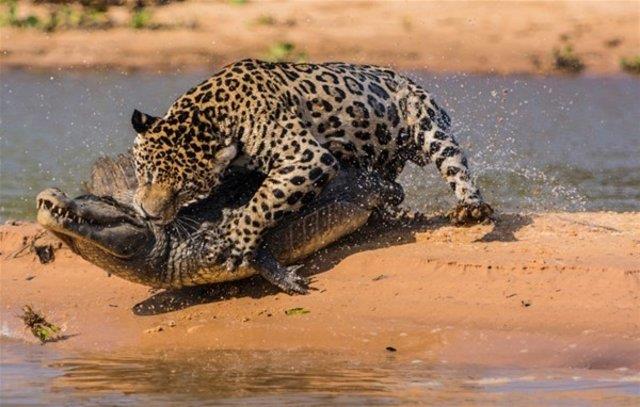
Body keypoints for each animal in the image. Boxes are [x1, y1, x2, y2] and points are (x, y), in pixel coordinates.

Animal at [130, 58, 493, 271]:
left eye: (185, 190)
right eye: (145, 174)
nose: (149, 214)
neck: (212, 111)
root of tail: (406, 79)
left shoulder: (307, 156)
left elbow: (263, 202)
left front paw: (236, 242)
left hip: (428, 124)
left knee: (455, 165)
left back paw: (471, 208)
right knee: (391, 188)